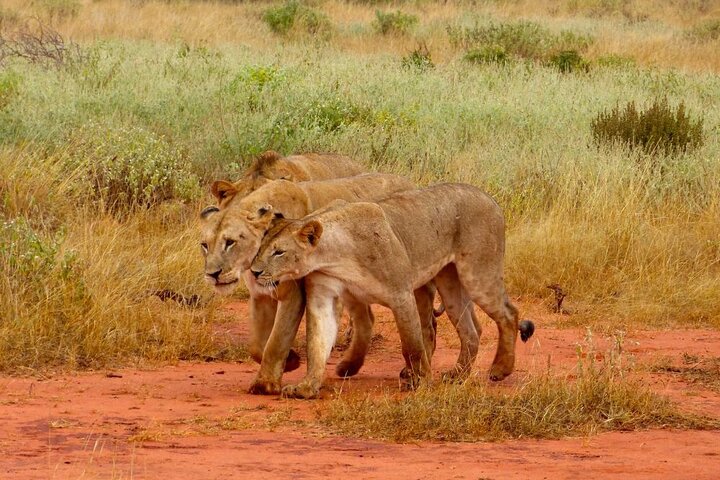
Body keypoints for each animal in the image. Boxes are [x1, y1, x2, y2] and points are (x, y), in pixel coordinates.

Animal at [200, 172, 436, 394]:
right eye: (204, 245)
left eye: (230, 242)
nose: (212, 274)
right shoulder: (260, 296)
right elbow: (257, 346)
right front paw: (289, 361)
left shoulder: (294, 294)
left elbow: (276, 341)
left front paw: (266, 383)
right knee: (367, 319)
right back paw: (349, 367)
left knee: (423, 321)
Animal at [252, 183, 536, 398]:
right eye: (261, 247)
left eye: (279, 252)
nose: (254, 271)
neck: (335, 255)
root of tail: (490, 198)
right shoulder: (323, 296)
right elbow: (317, 344)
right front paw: (307, 387)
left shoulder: (401, 293)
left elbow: (411, 344)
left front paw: (420, 381)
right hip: (450, 283)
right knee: (471, 330)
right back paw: (457, 375)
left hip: (477, 274)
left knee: (508, 314)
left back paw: (500, 369)